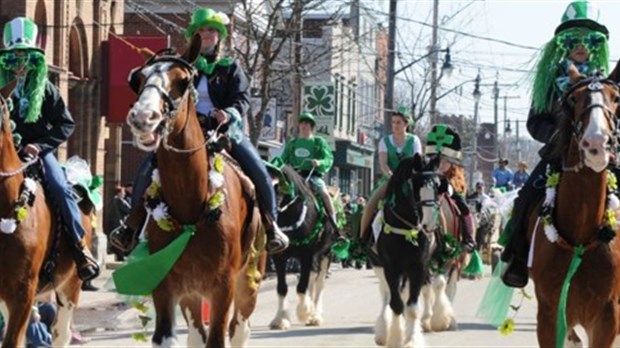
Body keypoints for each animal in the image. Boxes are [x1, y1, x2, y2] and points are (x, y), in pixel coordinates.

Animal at [122, 34, 266, 346]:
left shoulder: (223, 287)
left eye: (183, 80)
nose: (143, 117)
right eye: (139, 79)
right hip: (192, 294)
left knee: (240, 328)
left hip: (249, 280)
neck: (191, 203)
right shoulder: (166, 286)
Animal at [266, 165, 334, 328]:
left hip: (326, 253)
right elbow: (282, 288)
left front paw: (304, 313)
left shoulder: (306, 254)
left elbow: (302, 286)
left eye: (280, 190)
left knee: (320, 282)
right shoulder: (279, 256)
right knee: (313, 277)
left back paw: (315, 315)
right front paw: (280, 319)